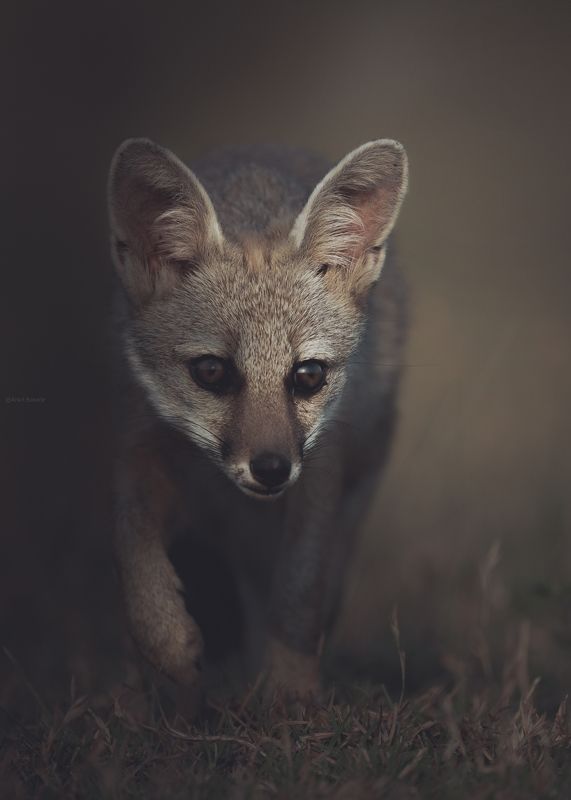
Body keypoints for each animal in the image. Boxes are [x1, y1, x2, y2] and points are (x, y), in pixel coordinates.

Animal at [107, 137, 408, 703]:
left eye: (308, 375)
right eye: (211, 371)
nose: (271, 469)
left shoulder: (320, 474)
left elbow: (299, 591)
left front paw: (290, 692)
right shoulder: (138, 442)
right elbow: (132, 546)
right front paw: (166, 642)